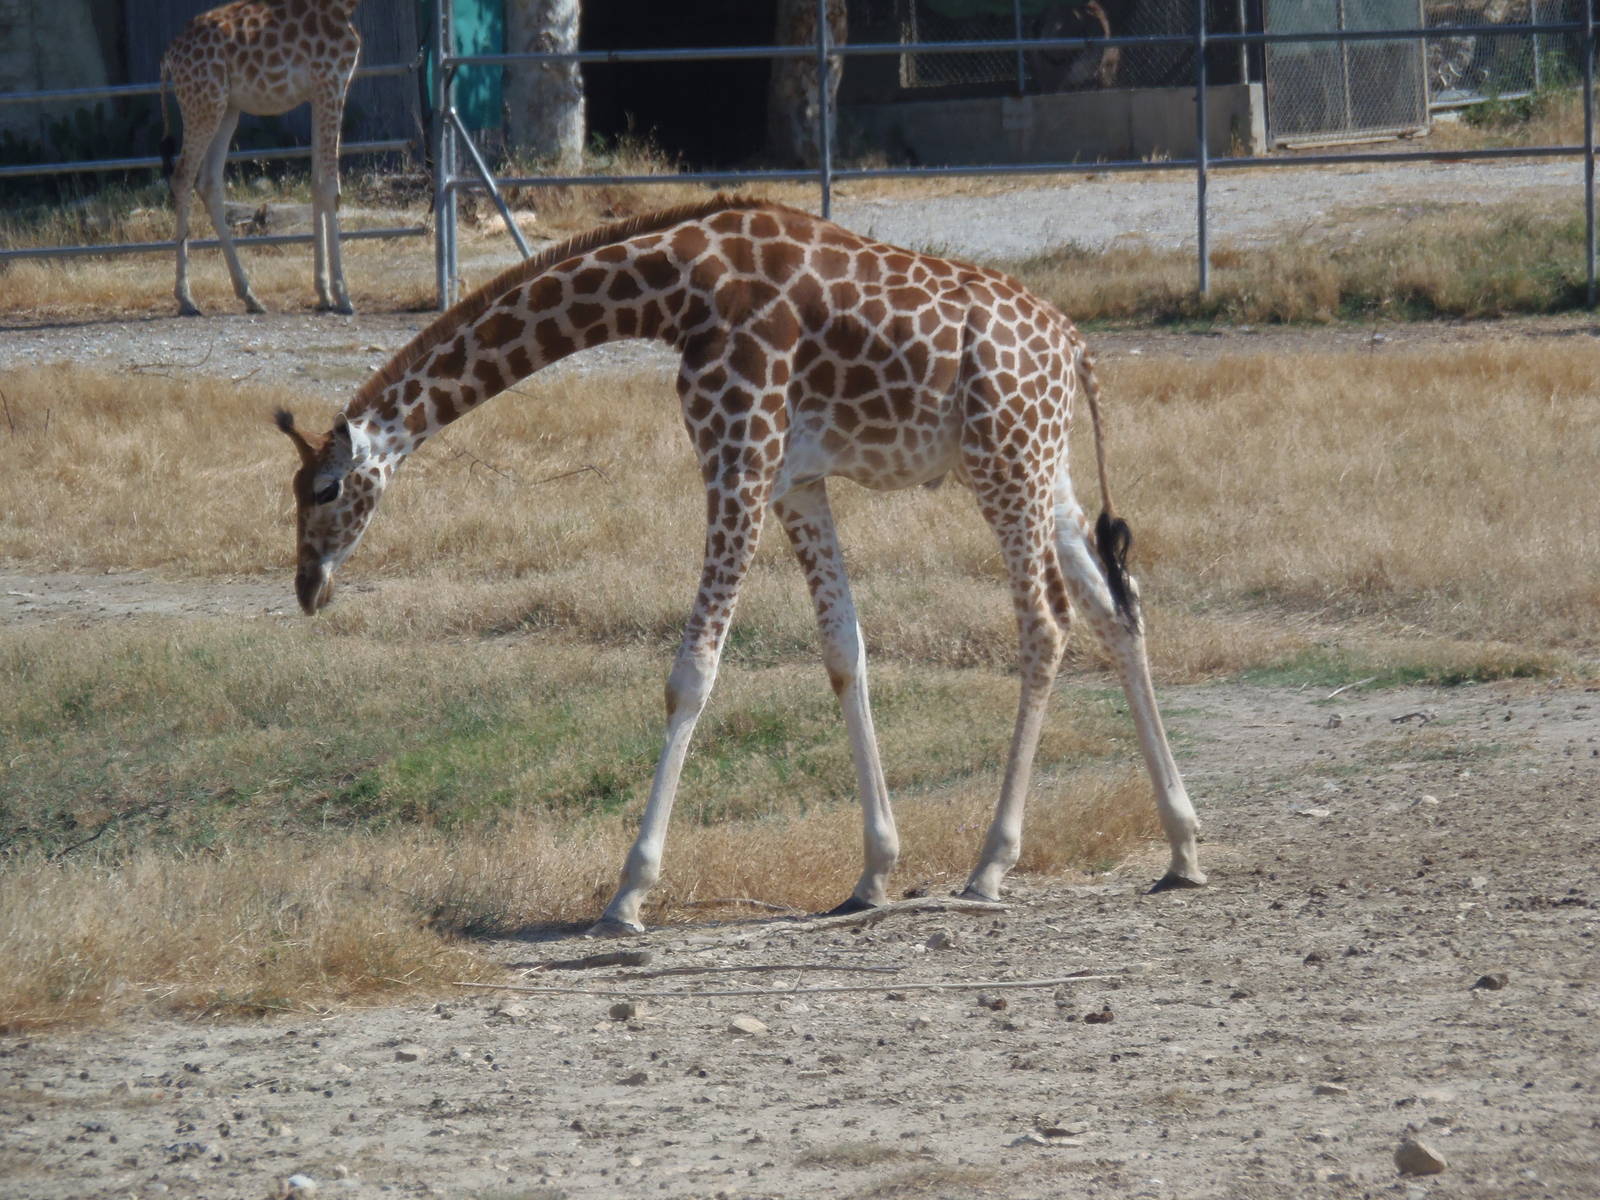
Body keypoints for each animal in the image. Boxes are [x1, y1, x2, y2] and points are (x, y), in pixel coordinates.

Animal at [159, 0, 361, 316]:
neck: (347, 6)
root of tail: (169, 57)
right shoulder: (332, 82)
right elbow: (331, 188)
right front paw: (343, 295)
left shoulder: (318, 92)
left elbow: (317, 185)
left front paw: (324, 293)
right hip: (204, 103)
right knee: (182, 177)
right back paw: (187, 299)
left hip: (227, 108)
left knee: (208, 183)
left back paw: (249, 296)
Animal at [275, 196, 1206, 935]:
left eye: (324, 488)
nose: (307, 586)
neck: (672, 290)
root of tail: (1078, 347)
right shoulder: (795, 478)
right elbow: (843, 649)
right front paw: (872, 873)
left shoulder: (739, 456)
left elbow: (693, 670)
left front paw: (628, 893)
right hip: (1046, 468)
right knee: (1116, 608)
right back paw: (1184, 847)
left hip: (1003, 460)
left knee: (1046, 623)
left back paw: (990, 865)